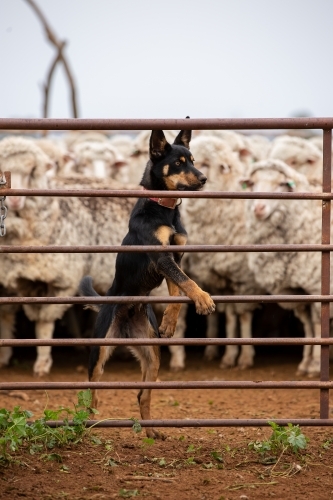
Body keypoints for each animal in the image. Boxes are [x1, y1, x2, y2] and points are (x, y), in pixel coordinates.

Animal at [80, 130, 215, 438]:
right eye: (178, 163)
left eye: (193, 160)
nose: (204, 178)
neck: (163, 208)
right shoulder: (161, 256)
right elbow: (188, 282)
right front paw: (203, 297)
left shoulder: (176, 255)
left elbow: (178, 292)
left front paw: (169, 324)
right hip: (99, 349)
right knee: (93, 392)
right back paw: (91, 424)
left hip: (152, 355)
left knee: (143, 394)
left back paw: (151, 431)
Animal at [243, 159, 326, 376]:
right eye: (252, 183)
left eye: (281, 184)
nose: (258, 208)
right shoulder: (296, 291)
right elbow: (307, 325)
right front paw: (305, 363)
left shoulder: (316, 285)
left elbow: (317, 323)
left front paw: (315, 365)